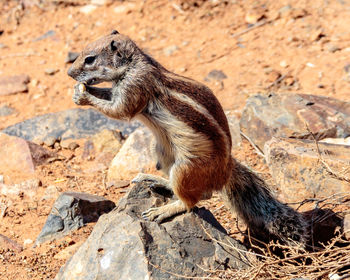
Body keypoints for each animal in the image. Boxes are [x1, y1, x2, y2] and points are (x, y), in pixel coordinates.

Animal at [67, 29, 308, 246]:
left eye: (90, 59)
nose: (69, 73)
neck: (134, 63)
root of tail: (225, 171)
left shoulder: (135, 86)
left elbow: (119, 111)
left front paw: (83, 95)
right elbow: (109, 96)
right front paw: (80, 91)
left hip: (186, 168)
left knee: (194, 200)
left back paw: (163, 210)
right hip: (161, 152)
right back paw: (155, 180)